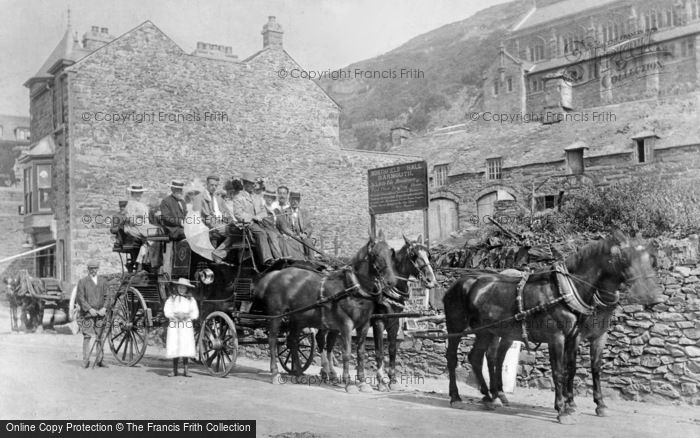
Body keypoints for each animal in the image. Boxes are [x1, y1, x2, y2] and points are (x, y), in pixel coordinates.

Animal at [256, 231, 400, 392]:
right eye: (375, 254)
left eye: (390, 253)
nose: (391, 282)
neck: (354, 287)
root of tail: (274, 275)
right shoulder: (345, 325)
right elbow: (346, 353)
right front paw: (349, 383)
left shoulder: (364, 324)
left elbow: (361, 353)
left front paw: (363, 382)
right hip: (276, 315)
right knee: (273, 340)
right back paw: (275, 373)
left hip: (297, 318)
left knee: (292, 341)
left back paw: (299, 373)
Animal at [372, 234, 438, 392]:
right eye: (413, 255)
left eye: (429, 255)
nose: (431, 281)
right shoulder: (378, 322)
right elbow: (379, 351)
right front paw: (381, 382)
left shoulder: (394, 322)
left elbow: (392, 350)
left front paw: (393, 380)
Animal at [442, 233, 660, 424]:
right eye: (624, 258)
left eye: (651, 259)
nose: (652, 296)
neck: (567, 290)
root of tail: (460, 281)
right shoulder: (558, 337)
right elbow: (559, 371)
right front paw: (563, 409)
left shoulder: (585, 336)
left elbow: (585, 368)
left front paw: (591, 405)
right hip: (456, 326)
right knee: (453, 357)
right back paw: (456, 397)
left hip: (487, 331)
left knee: (479, 357)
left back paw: (490, 397)